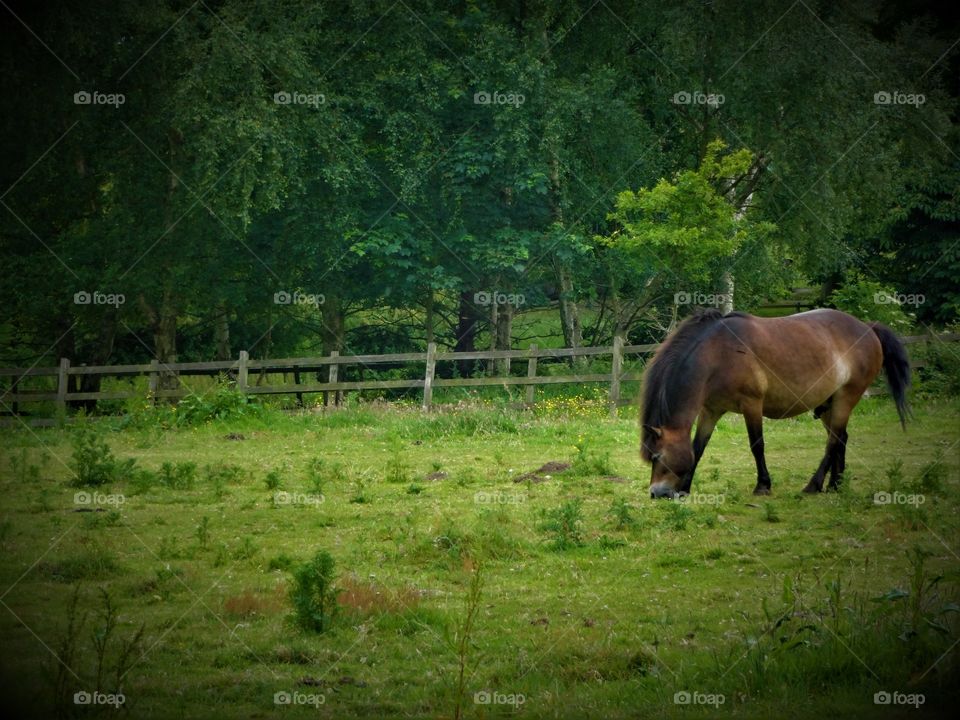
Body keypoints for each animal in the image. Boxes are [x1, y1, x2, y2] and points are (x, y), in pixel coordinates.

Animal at [640, 308, 911, 498]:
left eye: (658, 456)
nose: (656, 493)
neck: (718, 353)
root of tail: (868, 328)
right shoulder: (711, 410)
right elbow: (698, 448)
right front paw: (685, 489)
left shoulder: (751, 405)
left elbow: (756, 445)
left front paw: (763, 485)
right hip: (829, 403)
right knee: (841, 438)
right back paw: (835, 484)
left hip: (847, 397)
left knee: (834, 441)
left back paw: (814, 484)